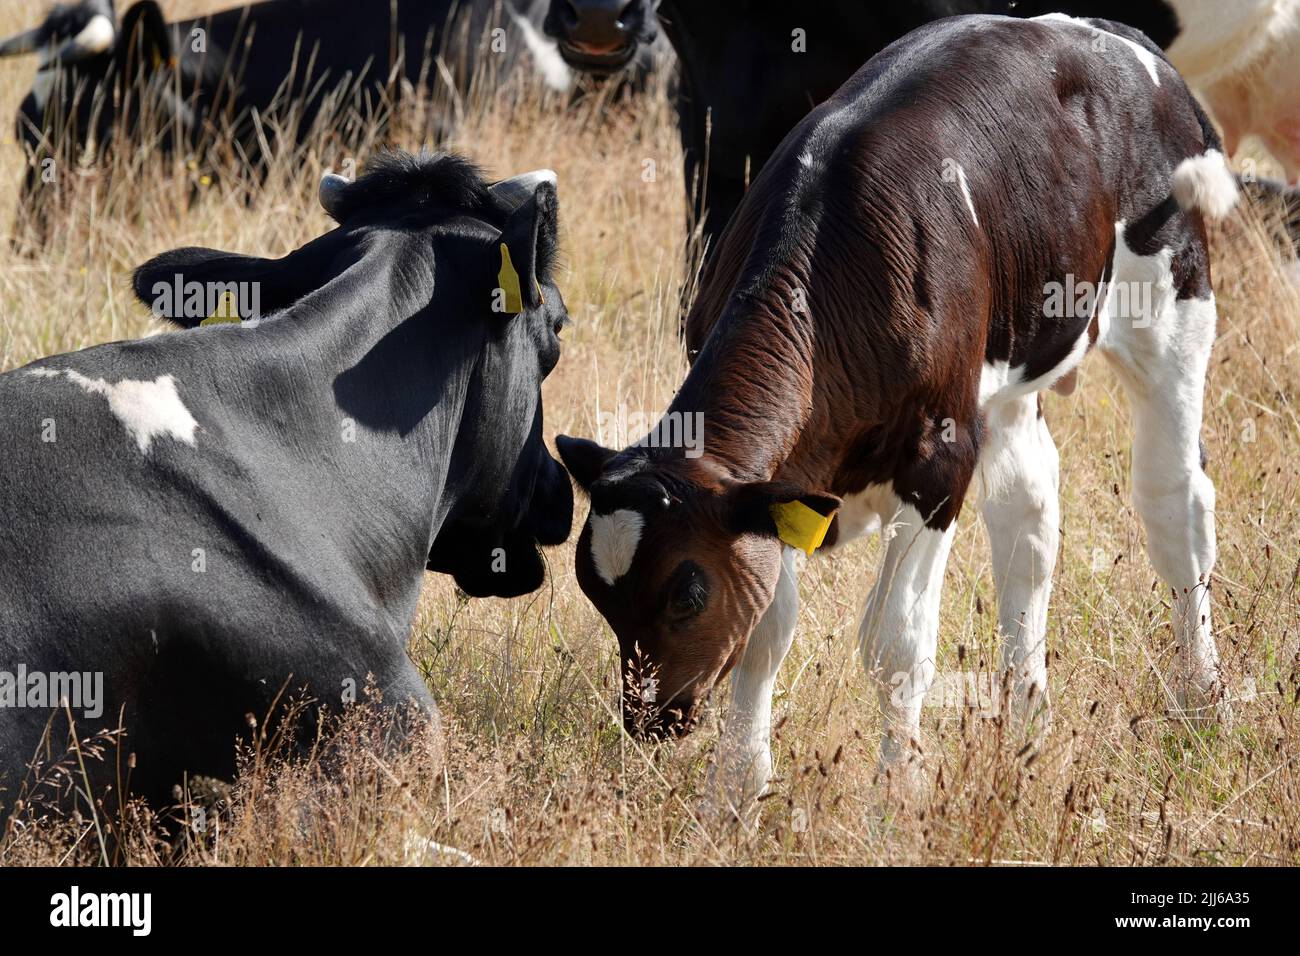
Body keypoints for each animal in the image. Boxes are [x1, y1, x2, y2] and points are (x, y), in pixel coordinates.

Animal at [553, 11, 1232, 811]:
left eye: (687, 592)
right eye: (595, 591)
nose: (649, 719)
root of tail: (1107, 33)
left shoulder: (939, 457)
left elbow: (896, 642)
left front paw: (898, 787)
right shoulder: (778, 487)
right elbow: (765, 630)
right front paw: (736, 790)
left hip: (1174, 306)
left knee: (1175, 506)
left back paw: (1202, 699)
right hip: (1005, 373)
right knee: (1028, 509)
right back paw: (1027, 717)